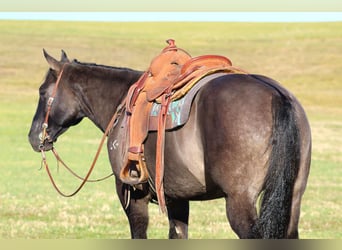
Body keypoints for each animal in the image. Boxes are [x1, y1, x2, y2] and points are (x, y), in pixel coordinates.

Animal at [28, 48, 312, 238]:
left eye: (42, 92)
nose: (33, 137)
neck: (121, 104)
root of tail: (276, 95)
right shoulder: (176, 197)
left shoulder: (131, 196)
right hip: (293, 198)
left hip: (240, 203)